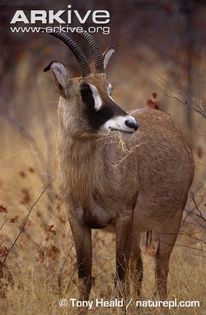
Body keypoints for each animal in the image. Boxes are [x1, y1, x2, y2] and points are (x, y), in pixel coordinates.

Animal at [42, 30, 194, 314]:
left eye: (109, 89)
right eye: (85, 91)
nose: (131, 123)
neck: (87, 180)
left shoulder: (122, 217)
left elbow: (120, 274)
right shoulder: (78, 220)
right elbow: (85, 275)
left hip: (170, 221)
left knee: (160, 267)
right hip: (136, 230)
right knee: (141, 269)